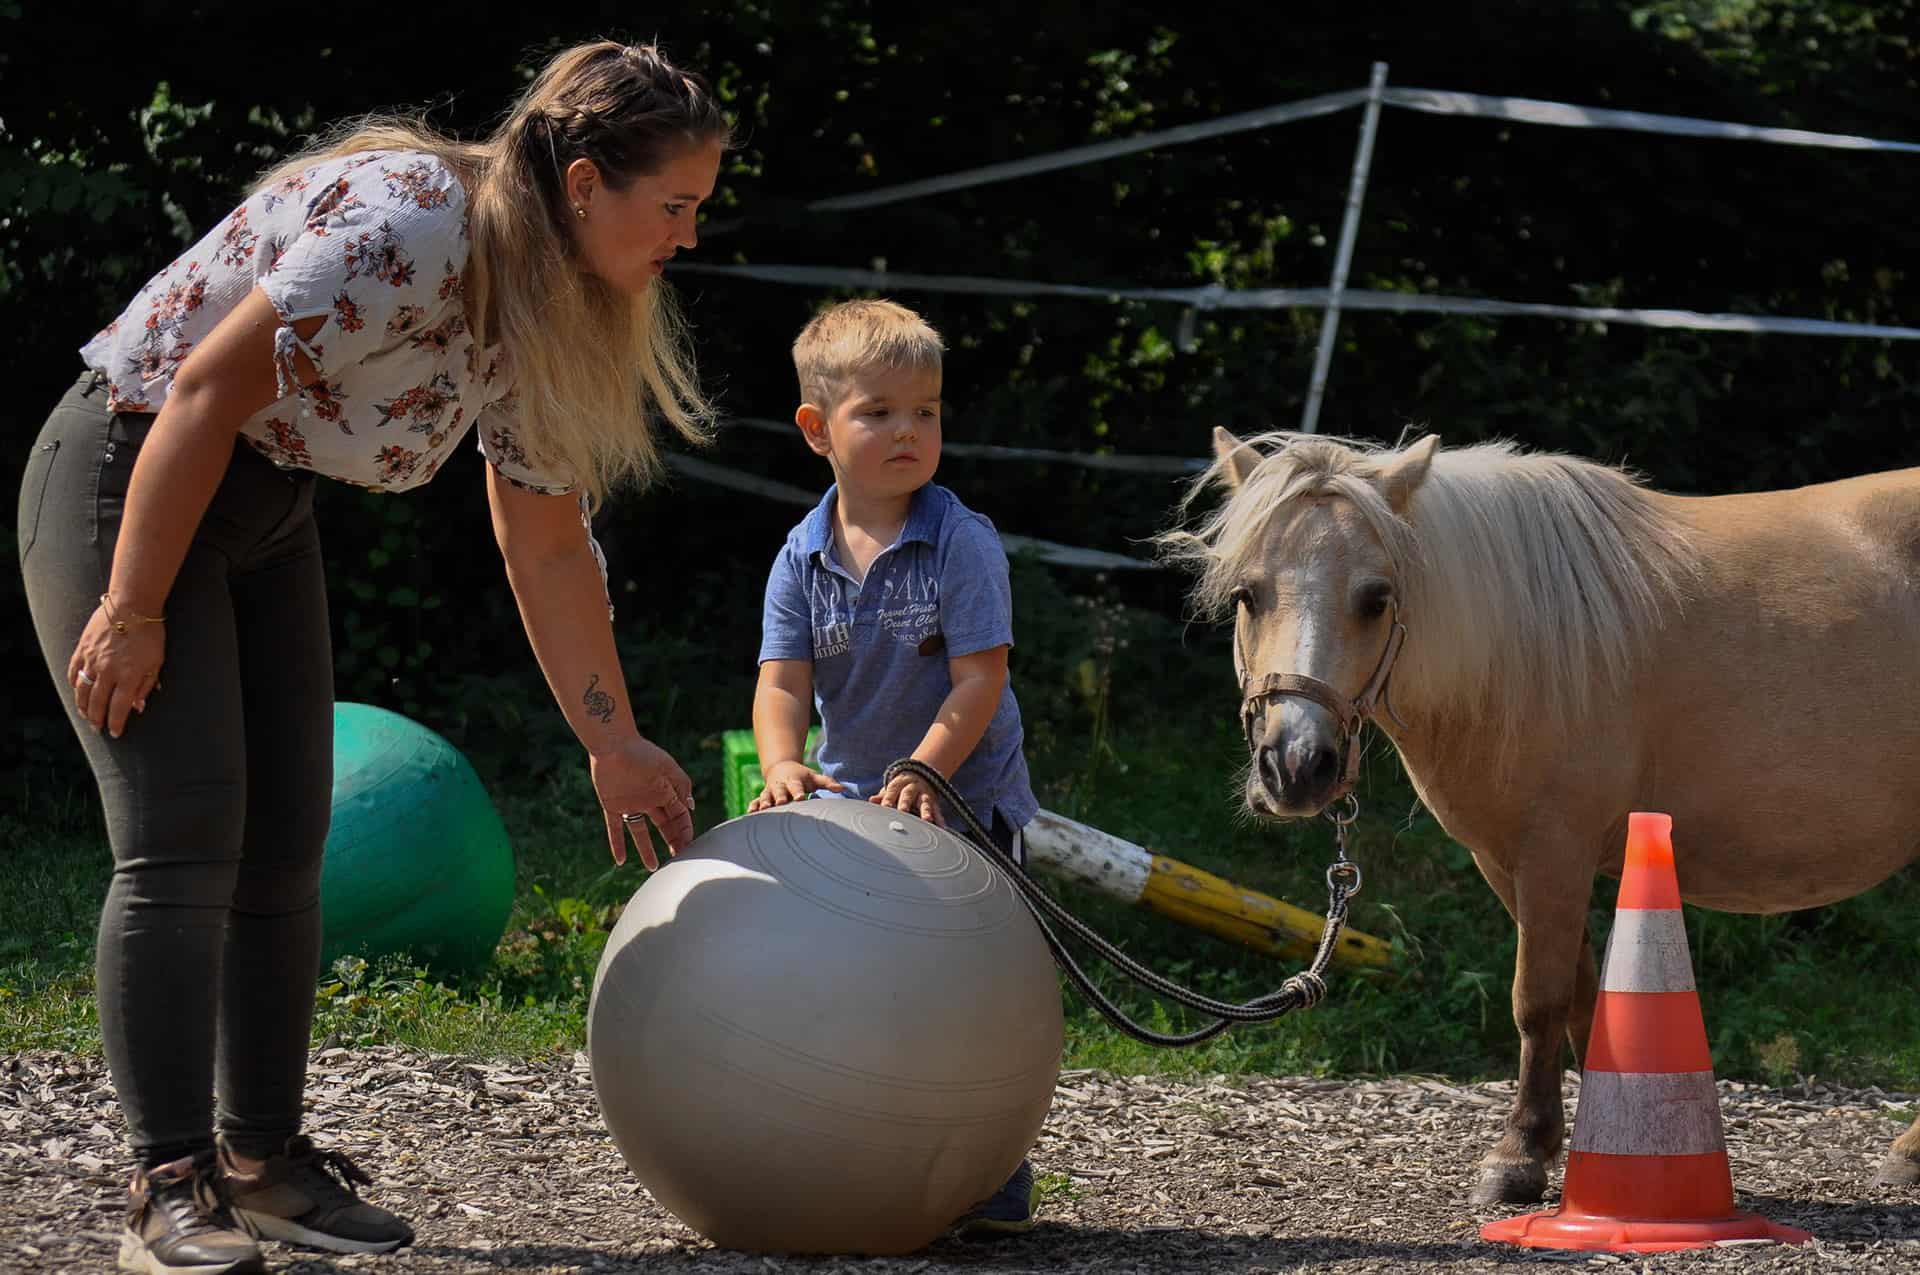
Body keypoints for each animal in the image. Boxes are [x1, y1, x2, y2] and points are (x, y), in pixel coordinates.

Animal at [1159, 430, 1920, 1205]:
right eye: (1248, 595)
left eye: (1376, 599)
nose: (1296, 765)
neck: (1520, 647)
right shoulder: (1511, 863)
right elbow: (1583, 998)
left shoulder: (1555, 853)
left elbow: (1539, 999)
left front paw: (1519, 1155)